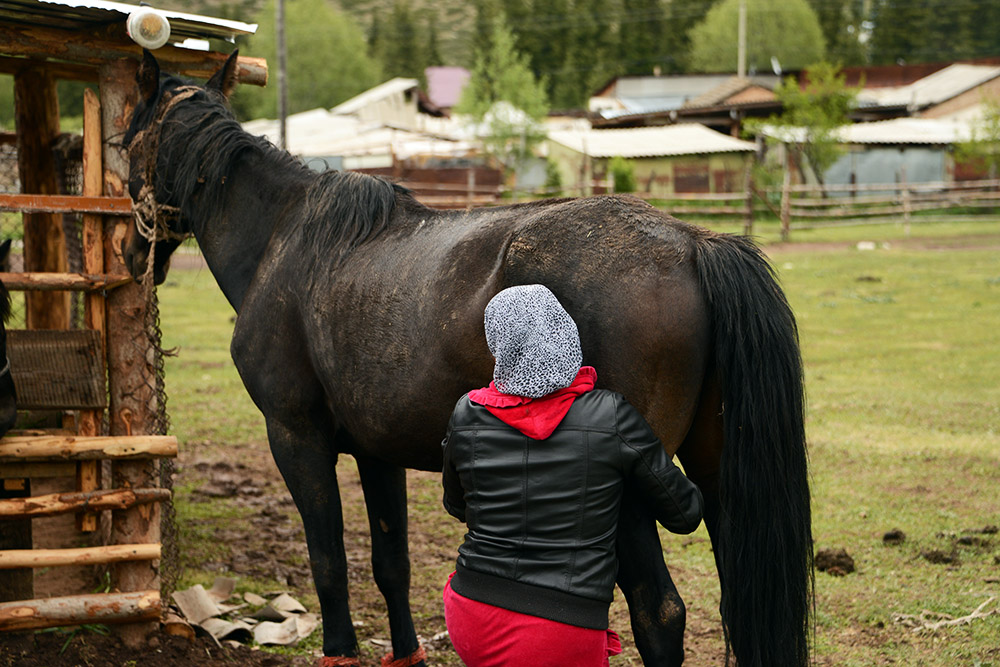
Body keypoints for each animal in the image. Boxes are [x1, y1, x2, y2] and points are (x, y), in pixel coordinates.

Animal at [122, 50, 812, 667]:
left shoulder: (297, 439)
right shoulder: (377, 452)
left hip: (637, 495)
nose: (130, 254)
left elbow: (328, 564)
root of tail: (693, 243)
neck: (282, 241)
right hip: (717, 476)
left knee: (658, 612)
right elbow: (390, 564)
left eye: (123, 148)